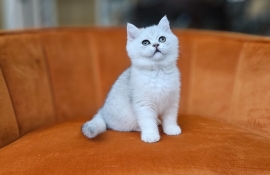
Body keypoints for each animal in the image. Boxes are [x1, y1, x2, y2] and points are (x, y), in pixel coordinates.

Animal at [81, 15, 180, 143]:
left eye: (162, 39)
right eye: (145, 42)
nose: (156, 45)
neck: (158, 71)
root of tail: (102, 112)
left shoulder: (171, 102)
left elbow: (170, 118)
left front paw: (171, 129)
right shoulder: (143, 104)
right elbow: (148, 122)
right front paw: (151, 135)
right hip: (127, 118)